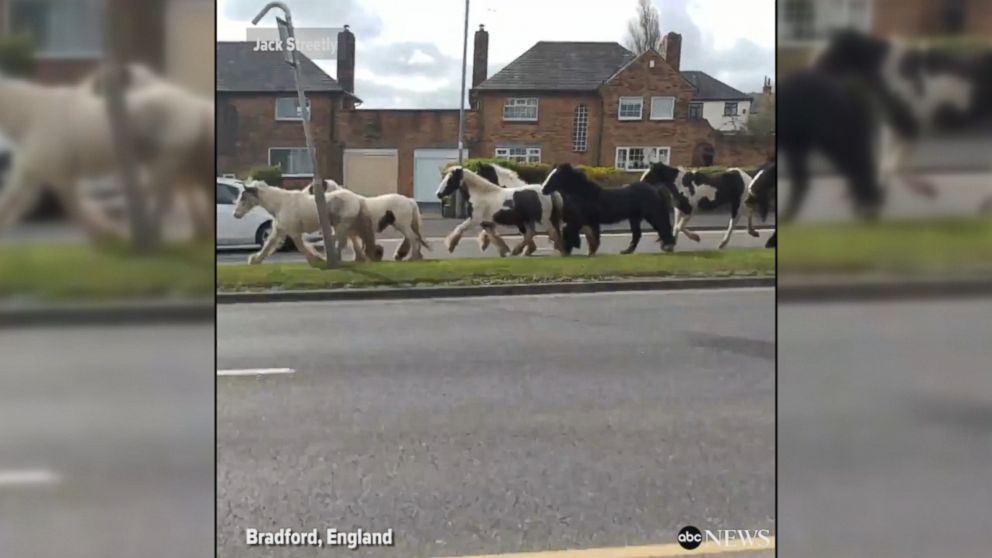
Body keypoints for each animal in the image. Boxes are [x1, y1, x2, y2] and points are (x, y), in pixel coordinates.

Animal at [0, 68, 213, 241]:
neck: (31, 116)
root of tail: (193, 106)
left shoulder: (55, 172)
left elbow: (73, 205)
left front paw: (106, 234)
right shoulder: (37, 172)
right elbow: (17, 199)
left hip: (167, 159)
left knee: (166, 195)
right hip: (170, 161)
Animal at [232, 180, 380, 266]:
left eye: (244, 197)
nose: (236, 214)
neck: (281, 204)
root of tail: (356, 198)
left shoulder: (294, 232)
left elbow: (301, 246)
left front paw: (315, 259)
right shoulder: (280, 230)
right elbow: (268, 245)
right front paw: (255, 260)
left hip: (342, 224)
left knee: (341, 240)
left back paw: (331, 256)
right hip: (343, 225)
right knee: (347, 240)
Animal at [540, 163, 680, 258]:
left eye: (556, 176)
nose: (543, 189)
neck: (584, 194)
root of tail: (655, 189)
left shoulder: (580, 220)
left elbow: (572, 232)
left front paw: (571, 250)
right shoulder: (591, 222)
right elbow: (593, 237)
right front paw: (589, 252)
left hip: (652, 215)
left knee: (662, 227)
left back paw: (668, 246)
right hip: (634, 218)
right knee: (637, 234)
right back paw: (627, 251)